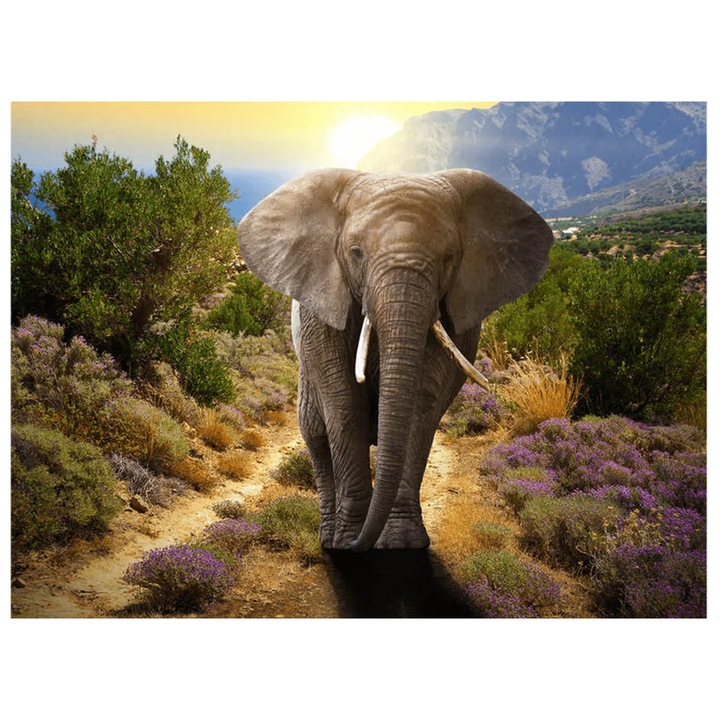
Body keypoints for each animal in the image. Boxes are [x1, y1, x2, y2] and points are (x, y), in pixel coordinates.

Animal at [237, 168, 553, 551]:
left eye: (449, 258)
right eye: (356, 252)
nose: (359, 545)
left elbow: (420, 405)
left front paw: (402, 543)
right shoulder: (321, 309)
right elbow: (344, 405)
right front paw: (348, 542)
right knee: (315, 433)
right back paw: (329, 539)